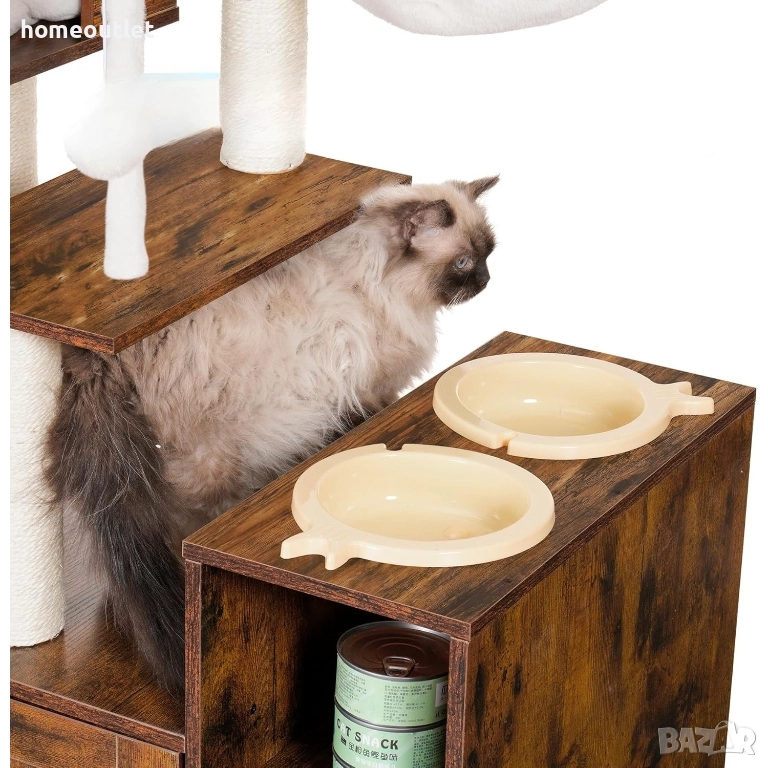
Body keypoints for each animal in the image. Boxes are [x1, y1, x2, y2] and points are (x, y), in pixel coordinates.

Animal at [44, 175, 499, 694]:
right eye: (463, 263)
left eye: (489, 254)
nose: (487, 281)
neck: (377, 284)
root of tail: (102, 356)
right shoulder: (369, 393)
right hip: (212, 462)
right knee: (177, 523)